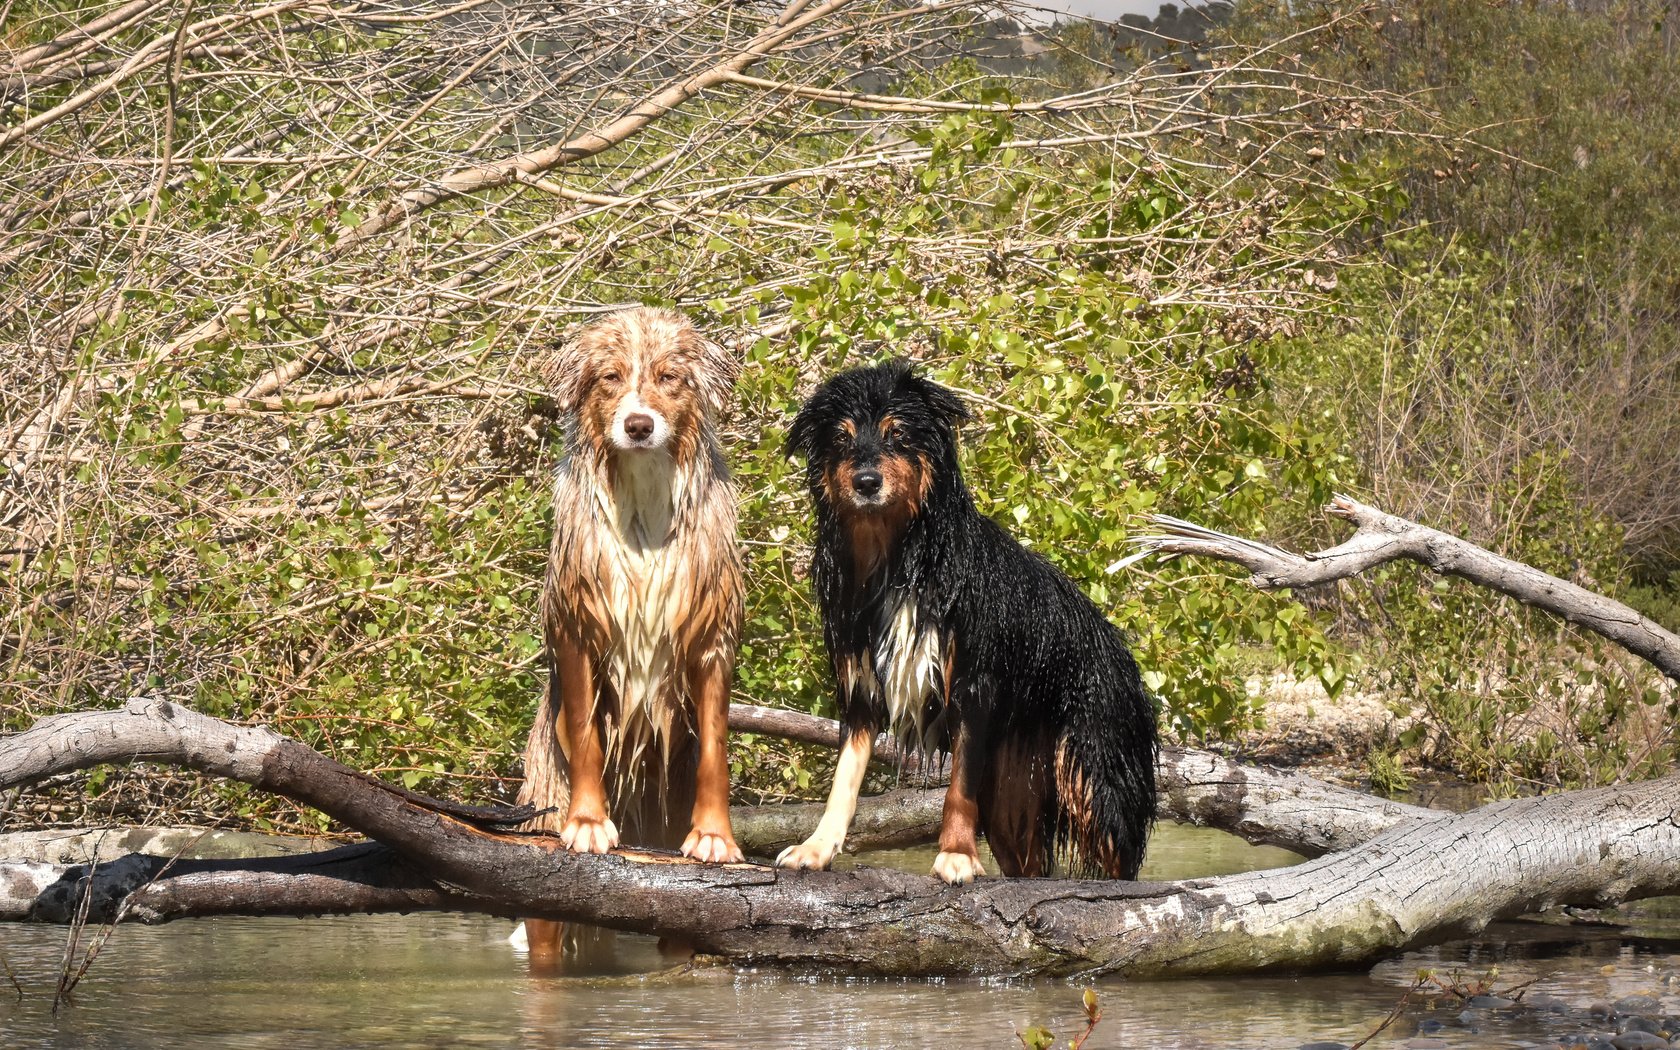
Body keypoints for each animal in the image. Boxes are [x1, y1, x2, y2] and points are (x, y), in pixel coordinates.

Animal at [772, 362, 1155, 887]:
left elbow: (957, 789)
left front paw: (955, 854)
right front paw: (816, 848)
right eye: (843, 439)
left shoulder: (972, 686)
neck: (899, 559)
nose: (866, 481)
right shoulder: (862, 688)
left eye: (897, 434)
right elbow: (843, 781)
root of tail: (1121, 651)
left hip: (1095, 777)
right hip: (1012, 800)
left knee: (1122, 866)